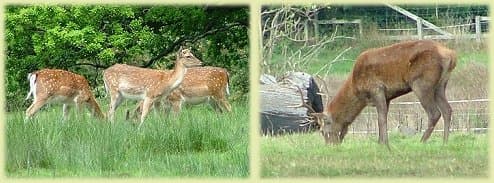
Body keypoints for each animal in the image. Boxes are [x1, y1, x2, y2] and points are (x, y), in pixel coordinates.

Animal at [296, 39, 458, 146]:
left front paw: (384, 144)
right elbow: (383, 116)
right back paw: (445, 142)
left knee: (434, 112)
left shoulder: (377, 89)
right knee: (447, 110)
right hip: (441, 84)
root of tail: (451, 55)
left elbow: (381, 118)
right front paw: (381, 141)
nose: (331, 146)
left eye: (323, 131)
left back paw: (421, 141)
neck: (357, 88)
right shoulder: (387, 96)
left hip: (421, 83)